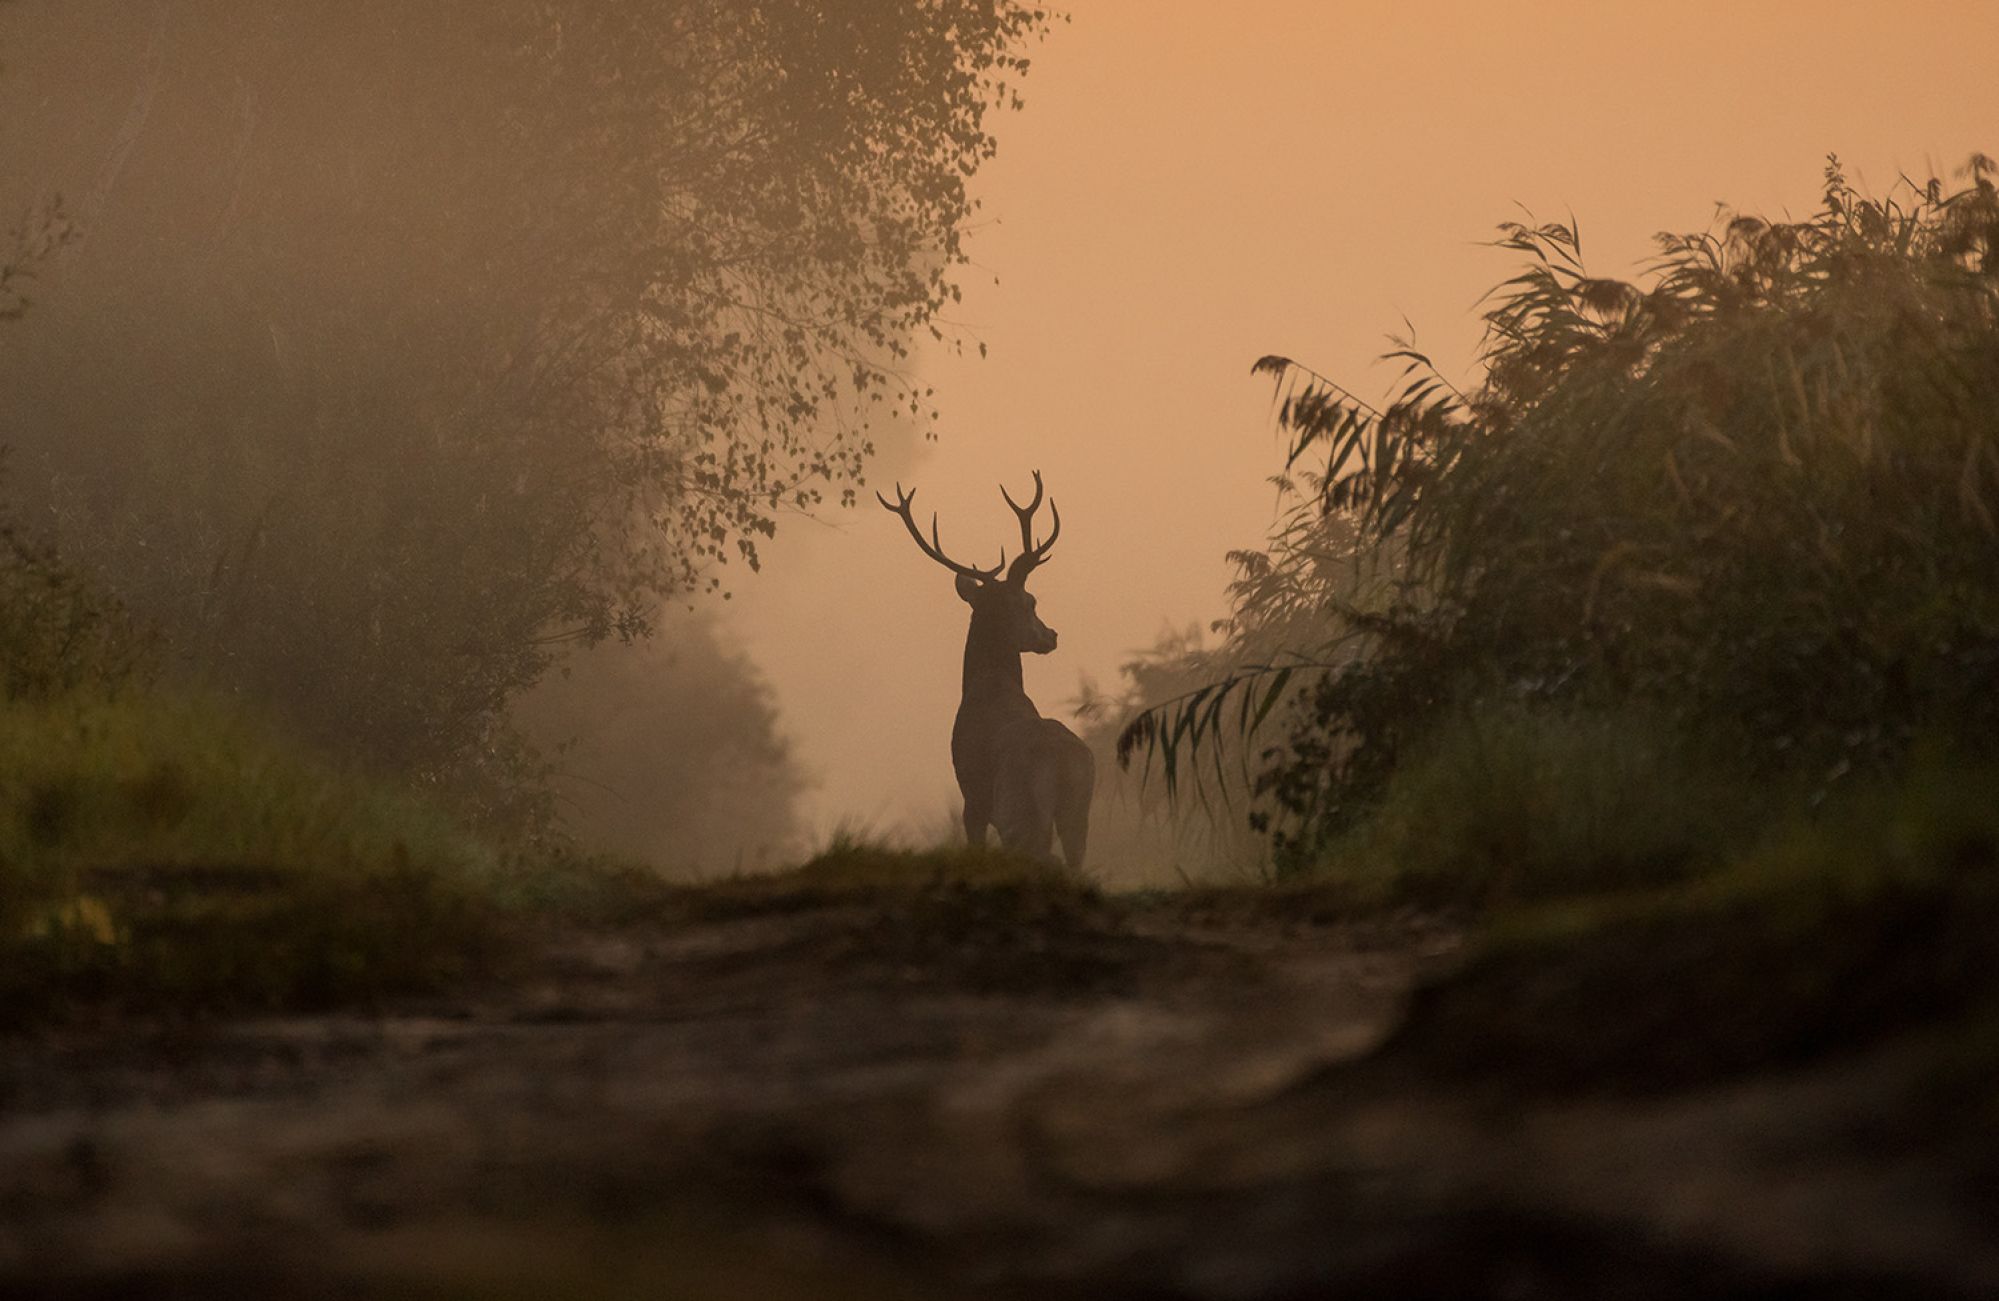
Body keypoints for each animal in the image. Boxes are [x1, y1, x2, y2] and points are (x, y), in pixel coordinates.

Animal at [875, 473, 1095, 871]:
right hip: (1080, 806)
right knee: (1075, 860)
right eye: (1031, 602)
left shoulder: (972, 800)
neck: (986, 686)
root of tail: (1060, 758)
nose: (1051, 635)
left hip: (1014, 805)